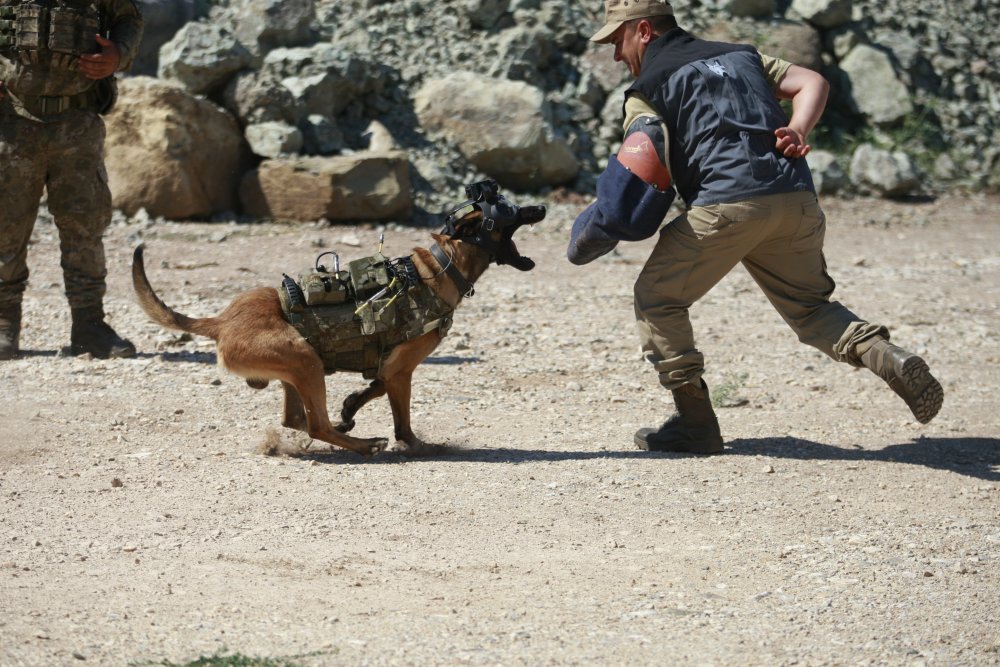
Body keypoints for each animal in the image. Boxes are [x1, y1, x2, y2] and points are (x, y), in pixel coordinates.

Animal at [133, 180, 548, 456]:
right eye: (510, 210)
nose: (542, 207)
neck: (437, 269)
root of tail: (222, 321)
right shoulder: (402, 369)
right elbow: (402, 419)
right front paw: (417, 444)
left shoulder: (389, 366)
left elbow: (374, 387)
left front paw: (350, 407)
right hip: (305, 360)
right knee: (315, 424)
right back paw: (364, 444)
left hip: (297, 370)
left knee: (297, 420)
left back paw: (344, 433)